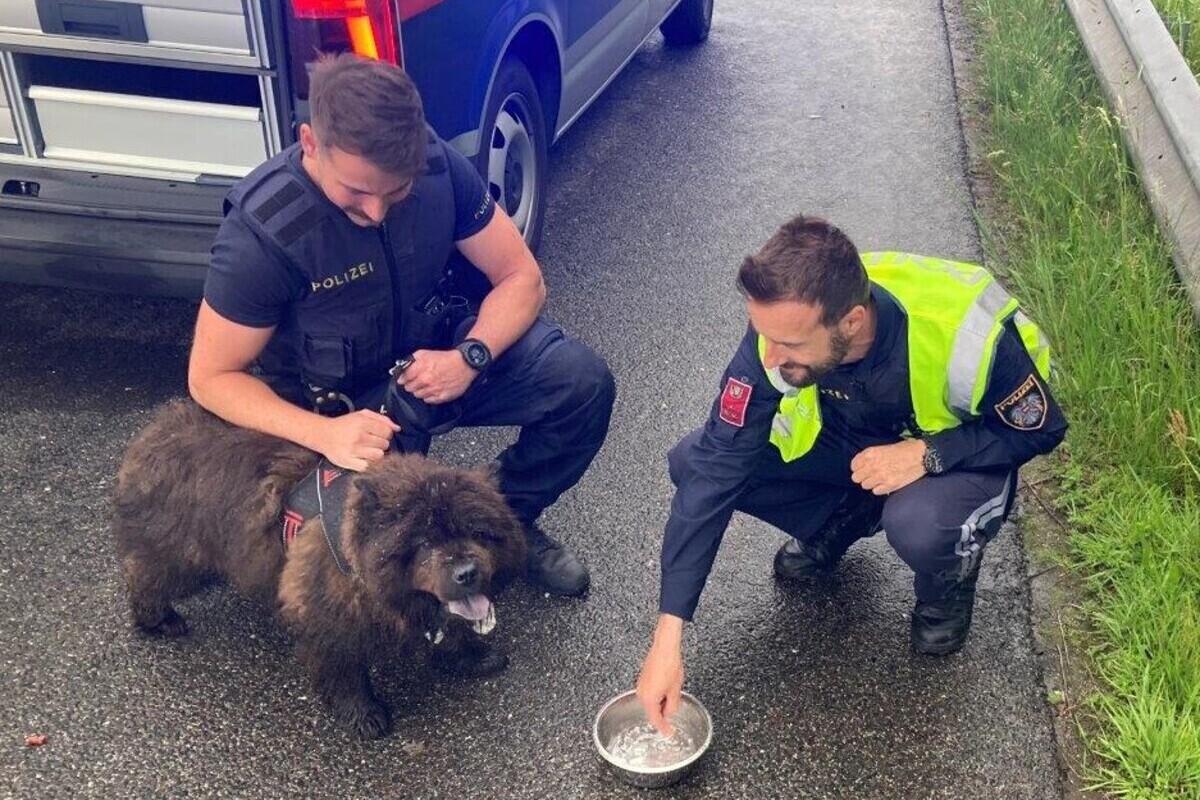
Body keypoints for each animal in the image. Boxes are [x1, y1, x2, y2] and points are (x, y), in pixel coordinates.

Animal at [113, 400, 526, 739]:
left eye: (477, 533)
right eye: (424, 543)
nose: (467, 572)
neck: (356, 555)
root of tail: (157, 430)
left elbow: (451, 627)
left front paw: (470, 655)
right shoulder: (328, 617)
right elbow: (343, 670)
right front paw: (362, 714)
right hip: (184, 553)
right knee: (146, 571)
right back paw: (157, 618)